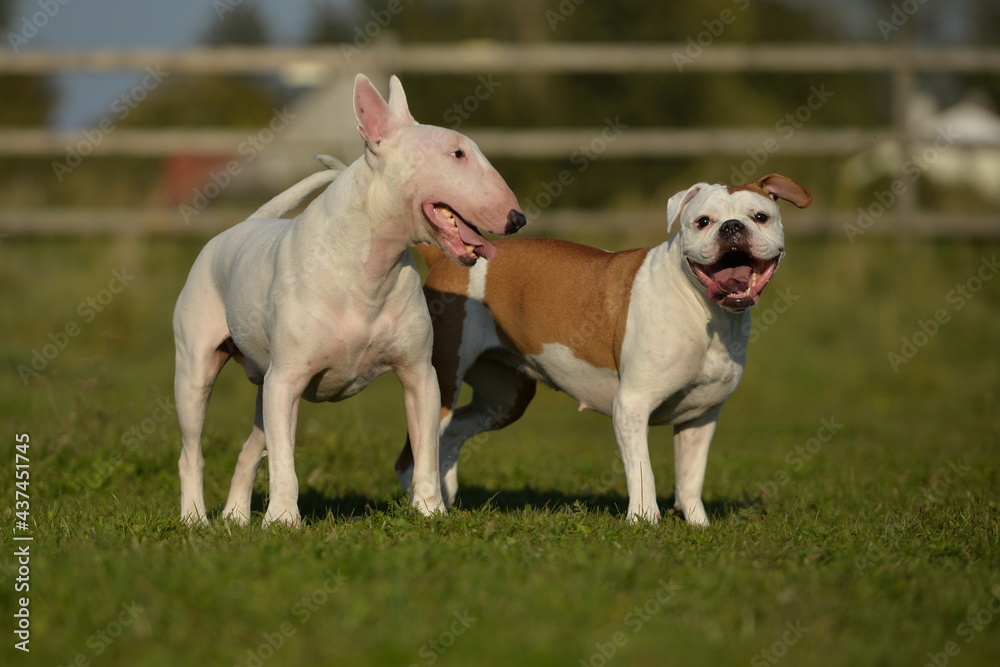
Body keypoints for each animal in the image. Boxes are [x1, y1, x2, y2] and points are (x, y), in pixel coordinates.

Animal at [173, 74, 525, 526]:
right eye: (457, 153)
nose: (518, 219)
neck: (368, 266)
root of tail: (245, 224)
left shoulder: (420, 376)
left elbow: (426, 452)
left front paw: (430, 512)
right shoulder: (286, 381)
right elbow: (285, 461)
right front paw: (283, 521)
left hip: (262, 388)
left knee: (250, 450)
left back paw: (235, 517)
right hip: (196, 372)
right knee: (193, 451)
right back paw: (195, 518)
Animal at [394, 174, 810, 526]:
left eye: (760, 217)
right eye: (703, 221)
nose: (732, 227)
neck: (707, 313)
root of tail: (444, 259)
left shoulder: (700, 417)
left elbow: (690, 476)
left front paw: (698, 525)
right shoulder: (632, 405)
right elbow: (642, 471)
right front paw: (644, 521)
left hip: (505, 399)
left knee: (451, 433)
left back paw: (446, 497)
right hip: (441, 382)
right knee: (416, 451)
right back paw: (424, 506)